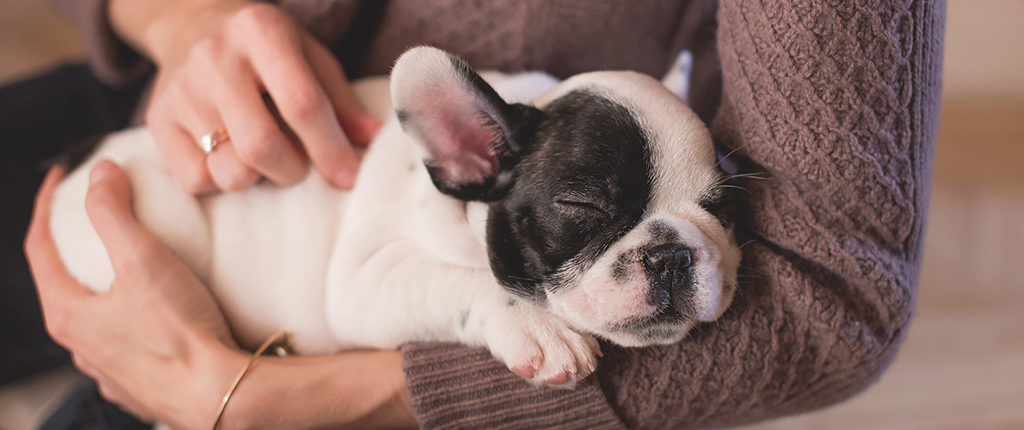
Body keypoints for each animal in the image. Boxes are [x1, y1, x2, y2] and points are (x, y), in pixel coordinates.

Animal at [49, 47, 737, 387]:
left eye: (721, 208)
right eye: (583, 206)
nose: (673, 254)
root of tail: (79, 159)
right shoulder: (365, 278)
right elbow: (463, 280)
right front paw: (538, 327)